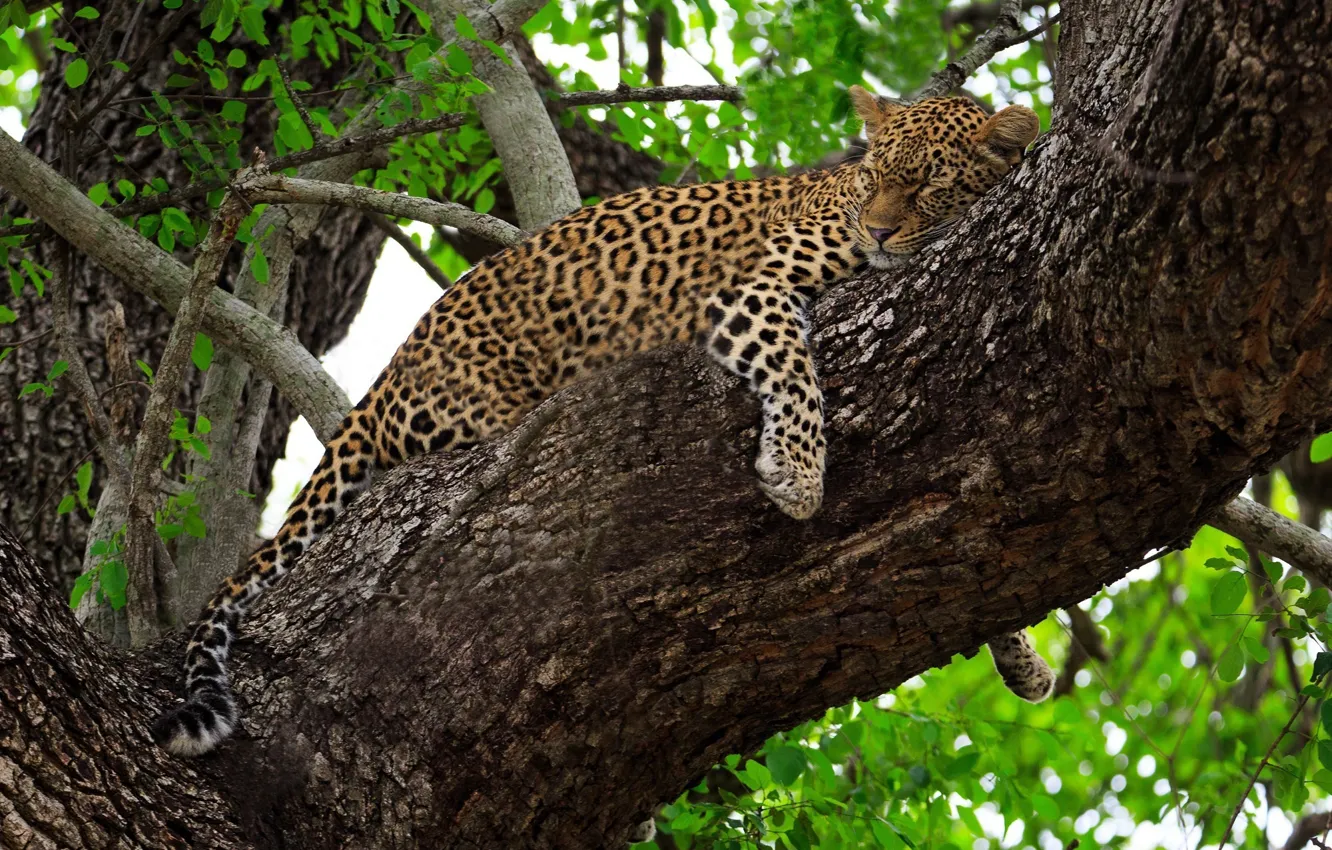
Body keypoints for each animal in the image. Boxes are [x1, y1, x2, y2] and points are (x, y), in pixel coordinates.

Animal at [153, 87, 1053, 757]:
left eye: (928, 185)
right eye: (874, 181)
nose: (880, 229)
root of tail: (391, 374)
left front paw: (1023, 658)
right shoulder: (744, 291)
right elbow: (795, 373)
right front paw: (798, 474)